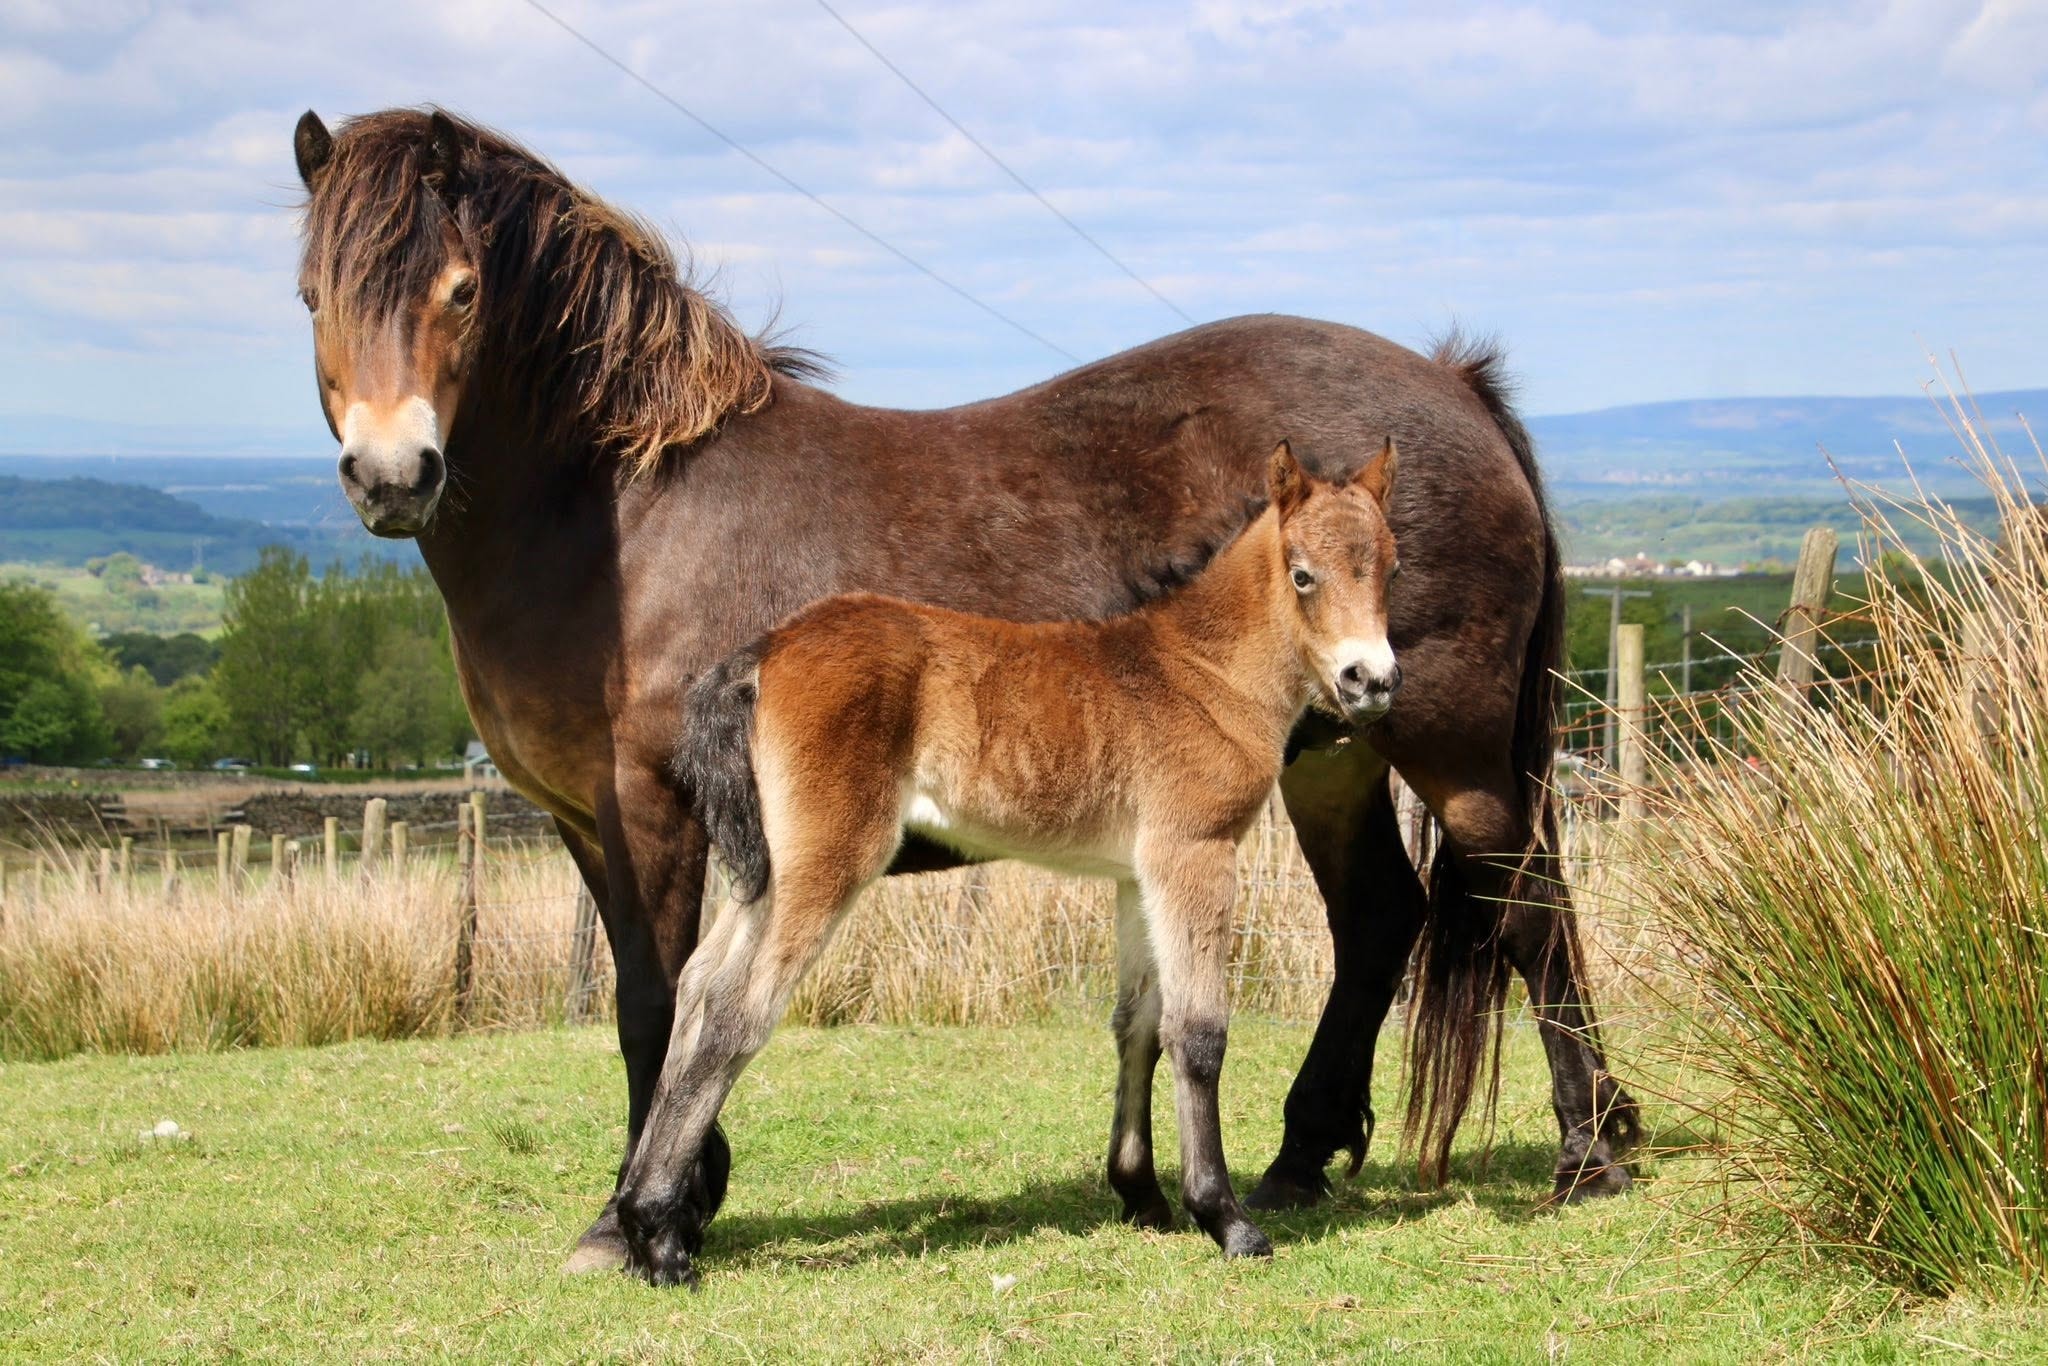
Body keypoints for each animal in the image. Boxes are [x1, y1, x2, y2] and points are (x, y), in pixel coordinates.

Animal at [628, 441, 1400, 1284]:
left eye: (1391, 568)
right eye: (1302, 573)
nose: (1372, 681)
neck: (1200, 671)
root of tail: (766, 649)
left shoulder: (1136, 874)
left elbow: (1137, 1022)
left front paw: (1141, 1196)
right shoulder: (1194, 854)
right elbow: (1197, 1032)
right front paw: (1224, 1218)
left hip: (775, 867)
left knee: (697, 987)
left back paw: (640, 1215)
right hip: (829, 859)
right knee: (736, 1011)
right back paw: (660, 1236)